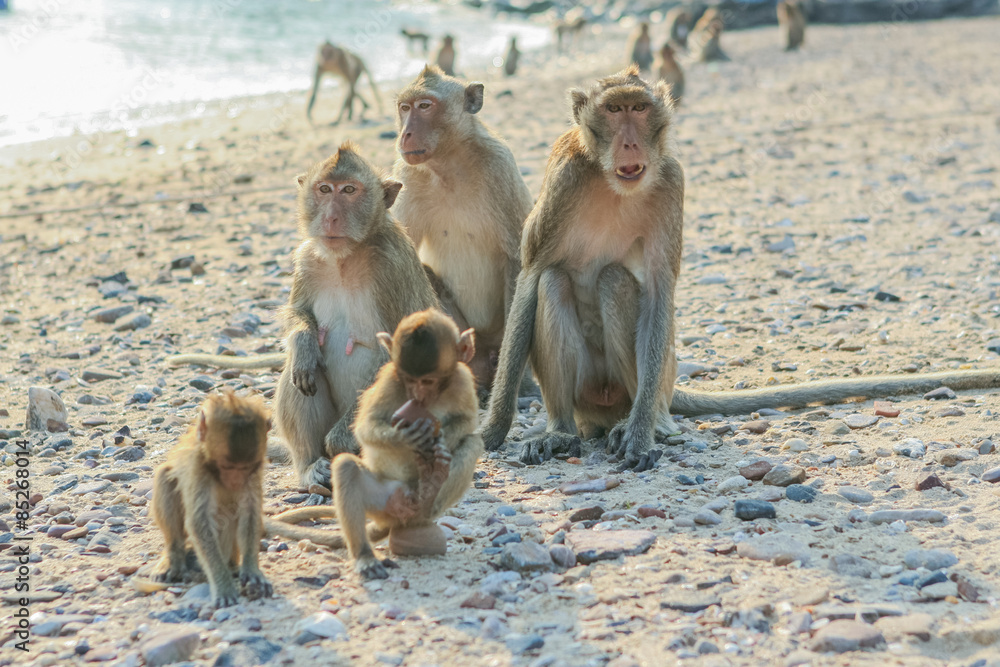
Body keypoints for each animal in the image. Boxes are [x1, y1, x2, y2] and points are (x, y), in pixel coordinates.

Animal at [150, 390, 272, 608]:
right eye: (226, 466)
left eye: (245, 468)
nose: (235, 482)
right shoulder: (198, 467)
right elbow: (200, 522)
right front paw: (223, 586)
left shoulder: (254, 472)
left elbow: (249, 512)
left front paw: (252, 570)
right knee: (166, 477)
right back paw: (174, 557)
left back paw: (232, 566)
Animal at [266, 309, 483, 580]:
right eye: (408, 379)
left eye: (429, 381)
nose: (417, 397)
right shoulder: (389, 379)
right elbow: (366, 427)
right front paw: (409, 437)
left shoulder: (463, 379)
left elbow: (467, 421)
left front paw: (435, 441)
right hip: (379, 499)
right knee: (347, 467)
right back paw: (365, 556)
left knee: (471, 444)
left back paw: (428, 496)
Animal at [391, 65, 535, 402]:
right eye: (404, 108)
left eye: (424, 106)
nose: (405, 134)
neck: (449, 165)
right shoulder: (409, 177)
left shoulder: (500, 167)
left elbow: (517, 258)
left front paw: (518, 383)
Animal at [480, 66, 1000, 471]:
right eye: (613, 111)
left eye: (639, 109)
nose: (629, 141)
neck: (611, 181)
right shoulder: (564, 176)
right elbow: (533, 272)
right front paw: (494, 426)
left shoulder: (671, 180)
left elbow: (660, 288)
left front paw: (642, 434)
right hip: (590, 394)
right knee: (554, 282)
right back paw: (561, 429)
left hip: (654, 380)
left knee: (613, 284)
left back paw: (649, 421)